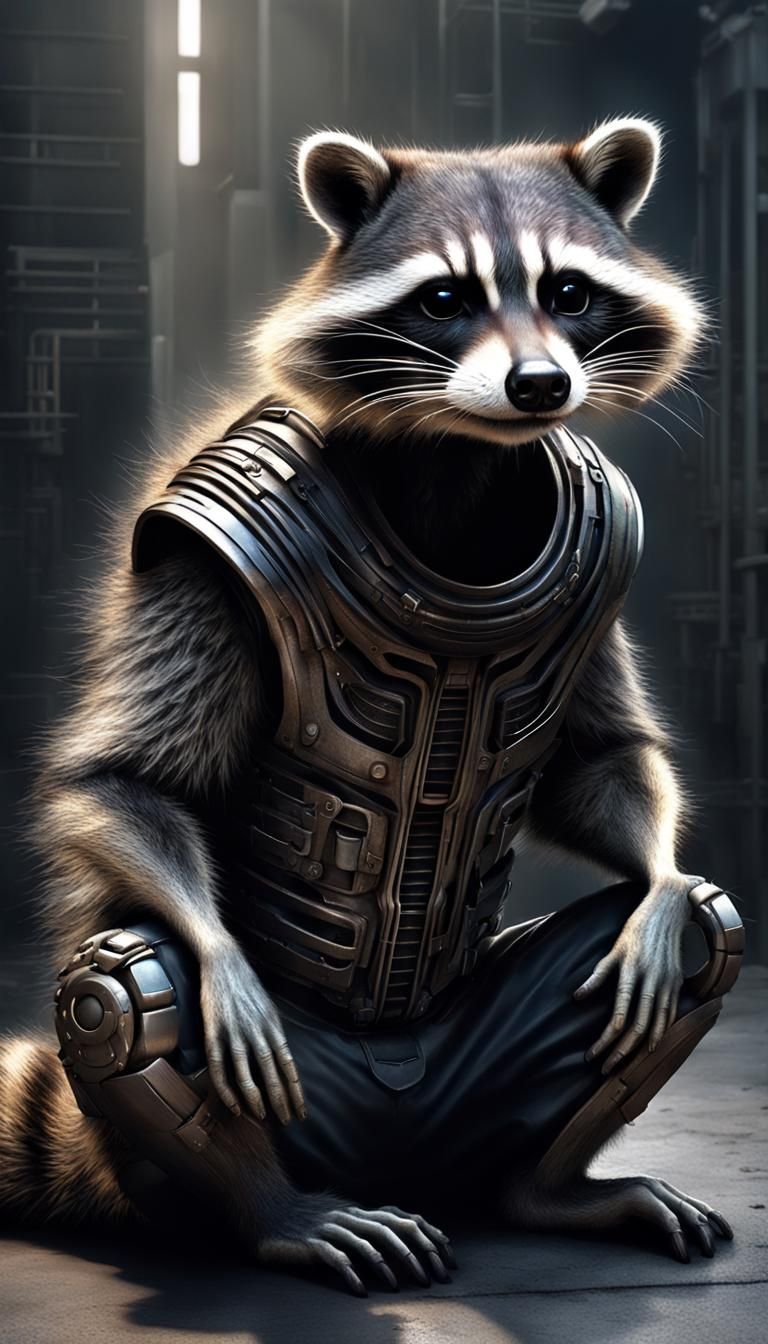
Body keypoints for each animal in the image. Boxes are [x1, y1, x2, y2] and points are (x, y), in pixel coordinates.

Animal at [0, 119, 739, 1293]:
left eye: (568, 291)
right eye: (444, 300)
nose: (540, 386)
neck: (460, 461)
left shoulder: (601, 543)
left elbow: (605, 763)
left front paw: (662, 889)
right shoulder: (208, 545)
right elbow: (126, 782)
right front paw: (220, 962)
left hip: (474, 1093)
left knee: (711, 931)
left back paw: (549, 1187)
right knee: (127, 986)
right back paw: (275, 1208)